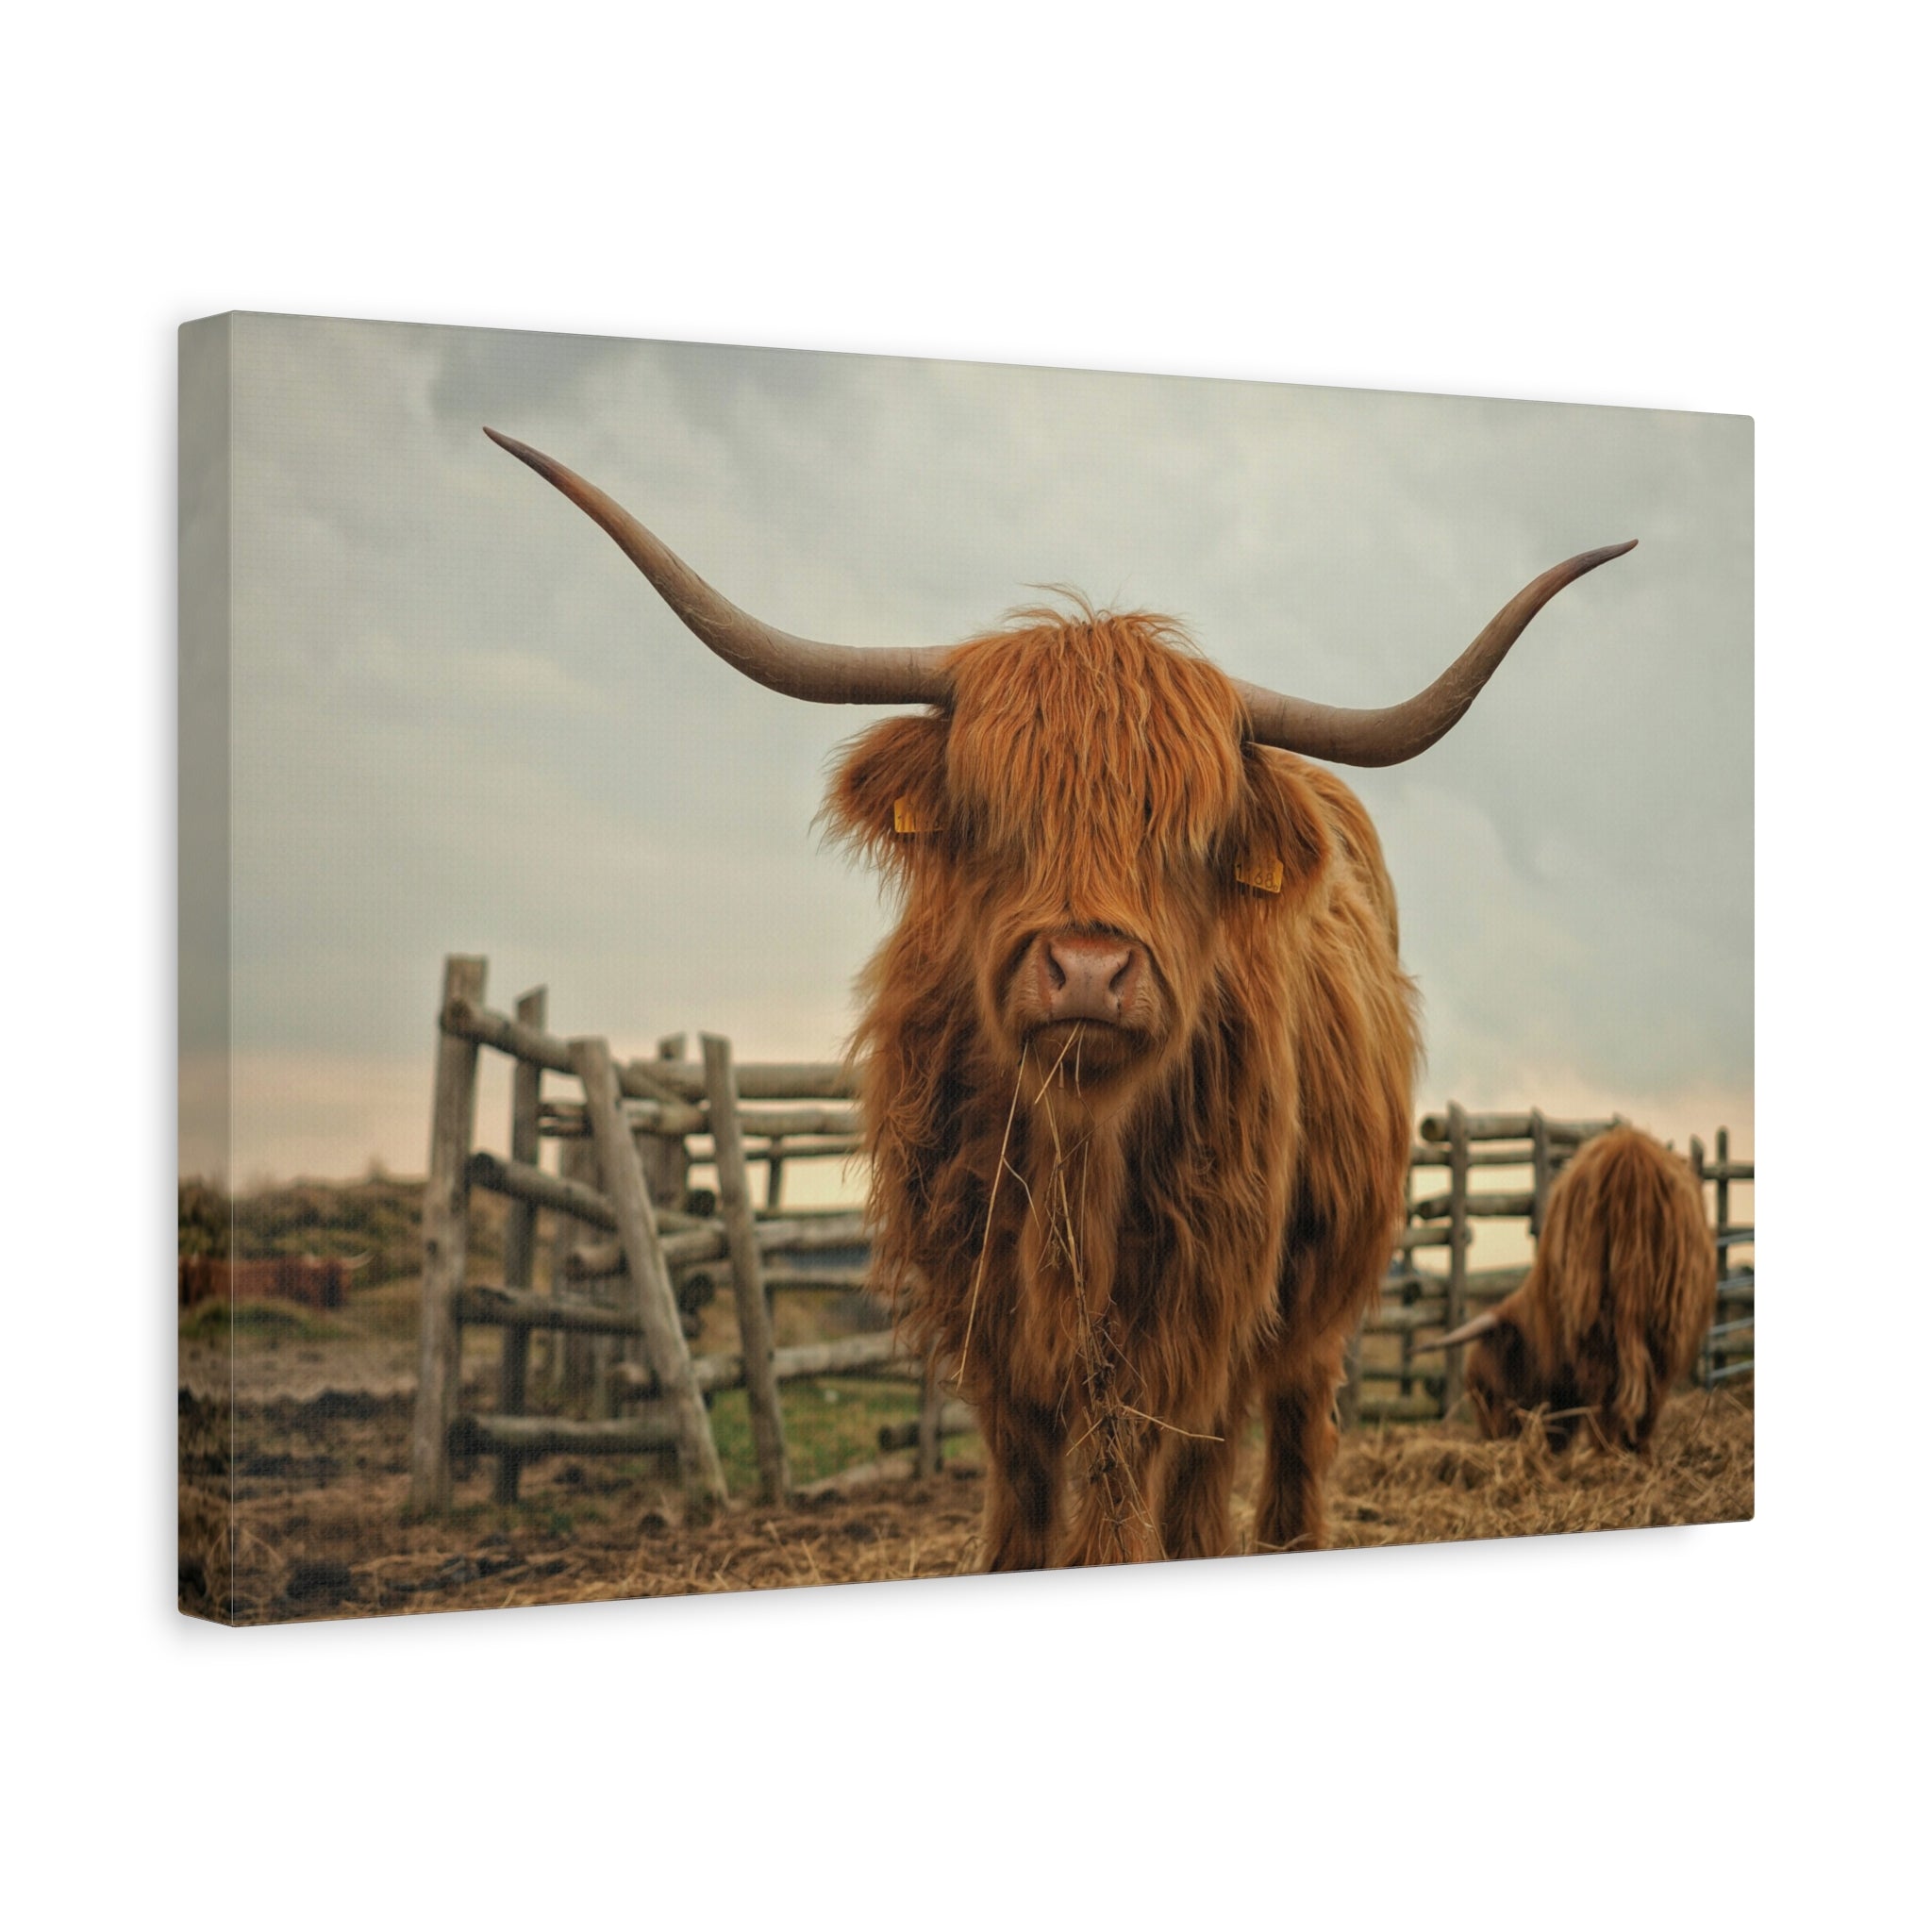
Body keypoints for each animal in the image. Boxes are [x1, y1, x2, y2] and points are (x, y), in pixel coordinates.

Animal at [488, 426, 1633, 1567]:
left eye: (1190, 834)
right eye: (996, 812)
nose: (1087, 968)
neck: (1073, 1151)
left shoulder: (1190, 1304)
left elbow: (1135, 1476)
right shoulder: (983, 1309)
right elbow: (1027, 1479)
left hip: (1314, 1295)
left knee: (1279, 1427)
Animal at [1435, 1126, 1718, 1452]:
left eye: (1486, 1390)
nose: (1493, 1440)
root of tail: (1629, 1153)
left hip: (1592, 1310)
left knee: (1606, 1383)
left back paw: (1604, 1450)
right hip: (1667, 1316)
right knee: (1651, 1386)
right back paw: (1634, 1449)